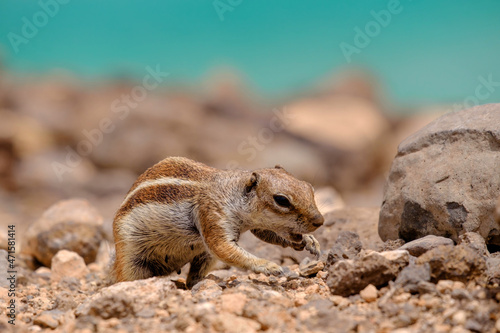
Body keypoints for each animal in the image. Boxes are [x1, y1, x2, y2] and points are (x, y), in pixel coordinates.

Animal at [111, 157, 324, 286]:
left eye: (309, 187)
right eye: (281, 200)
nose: (319, 221)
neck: (233, 192)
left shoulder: (255, 225)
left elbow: (266, 233)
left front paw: (310, 241)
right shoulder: (212, 214)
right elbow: (223, 248)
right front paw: (268, 265)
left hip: (204, 257)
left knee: (193, 278)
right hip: (131, 259)